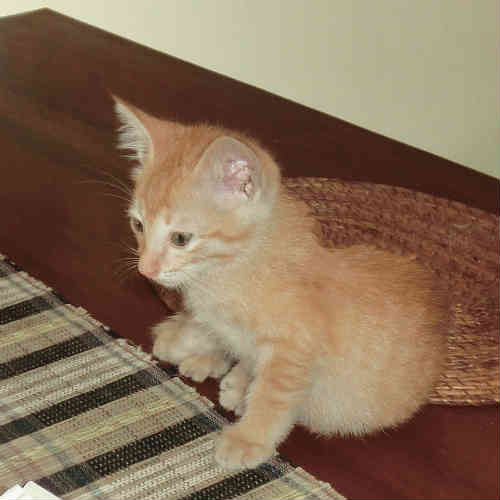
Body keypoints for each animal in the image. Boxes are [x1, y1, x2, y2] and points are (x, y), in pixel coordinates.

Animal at [113, 95, 448, 470]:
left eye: (181, 239)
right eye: (138, 225)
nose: (145, 270)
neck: (231, 268)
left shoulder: (295, 348)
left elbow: (273, 395)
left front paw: (249, 438)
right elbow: (219, 333)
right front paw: (192, 338)